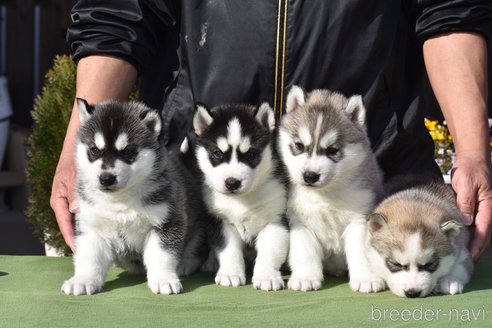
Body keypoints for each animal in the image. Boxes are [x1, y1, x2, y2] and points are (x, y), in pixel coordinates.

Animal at [62, 98, 208, 296]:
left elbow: (161, 255)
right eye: (94, 150)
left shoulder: (167, 221)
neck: (120, 200)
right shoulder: (91, 226)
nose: (106, 178)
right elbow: (89, 257)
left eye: (127, 151)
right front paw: (83, 280)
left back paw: (185, 263)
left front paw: (163, 279)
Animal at [192, 103, 290, 292]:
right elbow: (228, 250)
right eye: (217, 153)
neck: (242, 201)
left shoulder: (275, 217)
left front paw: (267, 276)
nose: (232, 182)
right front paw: (230, 274)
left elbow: (270, 251)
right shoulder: (220, 221)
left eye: (251, 154)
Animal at [276, 86, 384, 292]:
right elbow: (305, 252)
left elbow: (362, 253)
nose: (310, 176)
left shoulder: (360, 219)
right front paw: (305, 277)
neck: (325, 194)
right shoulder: (300, 222)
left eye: (332, 150)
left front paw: (366, 279)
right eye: (299, 146)